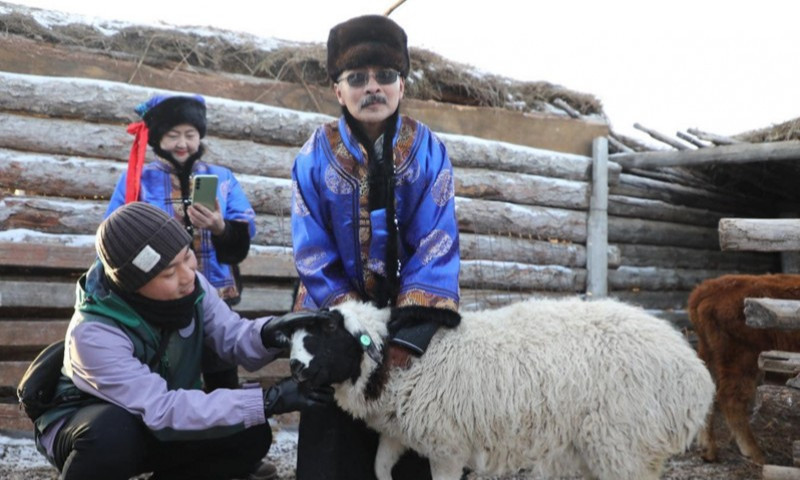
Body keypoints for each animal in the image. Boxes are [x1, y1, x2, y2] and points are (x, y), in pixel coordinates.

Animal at [272, 298, 716, 478]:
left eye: (330, 329)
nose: (295, 367)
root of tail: (696, 377)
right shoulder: (399, 434)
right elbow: (380, 469)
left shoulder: (447, 446)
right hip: (606, 447)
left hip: (626, 444)